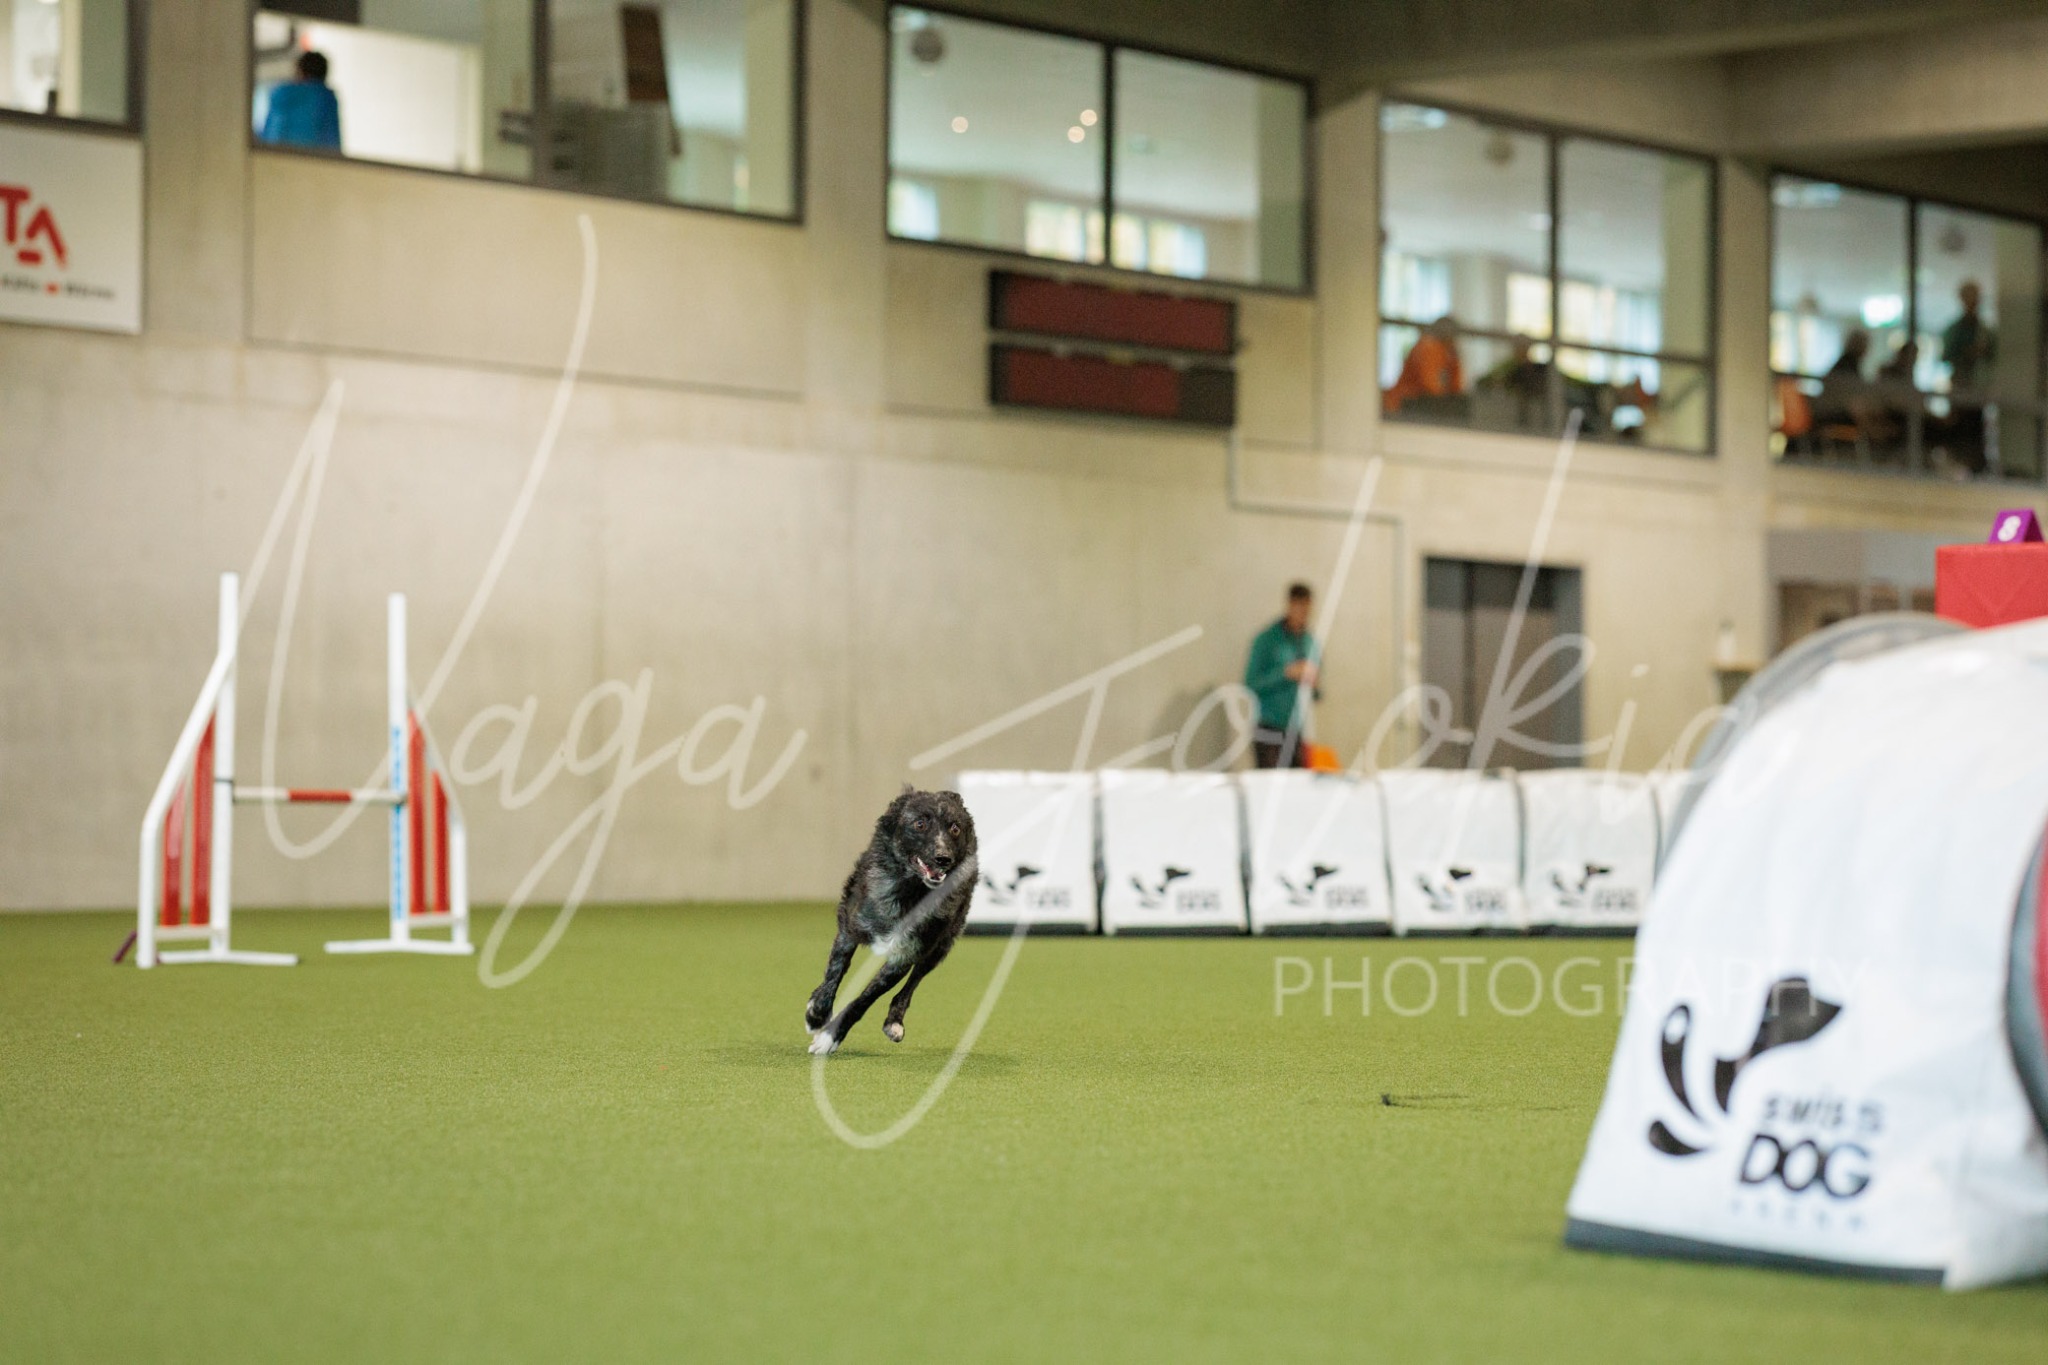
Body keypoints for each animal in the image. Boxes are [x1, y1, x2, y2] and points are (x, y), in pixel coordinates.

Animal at [804, 786, 977, 1056]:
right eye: (919, 824)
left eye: (955, 828)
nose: (943, 858)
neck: (910, 891)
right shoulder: (850, 929)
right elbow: (835, 972)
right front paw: (816, 1015)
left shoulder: (904, 955)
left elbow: (865, 999)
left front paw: (831, 1036)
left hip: (941, 946)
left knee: (913, 983)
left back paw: (894, 1022)